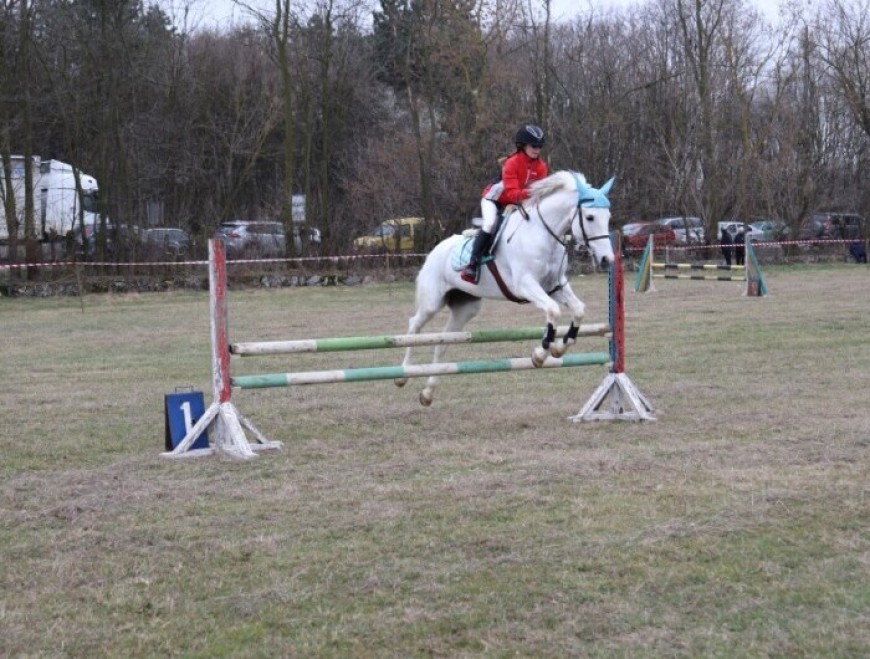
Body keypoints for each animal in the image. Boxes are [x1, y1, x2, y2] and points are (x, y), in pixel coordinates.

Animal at [398, 170, 616, 404]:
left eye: (608, 217)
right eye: (590, 217)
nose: (607, 259)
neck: (542, 234)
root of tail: (435, 249)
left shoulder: (554, 286)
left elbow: (578, 310)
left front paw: (560, 348)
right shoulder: (525, 285)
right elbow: (553, 310)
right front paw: (540, 354)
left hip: (465, 309)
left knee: (442, 343)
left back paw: (427, 393)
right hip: (432, 302)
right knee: (414, 326)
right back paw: (403, 374)